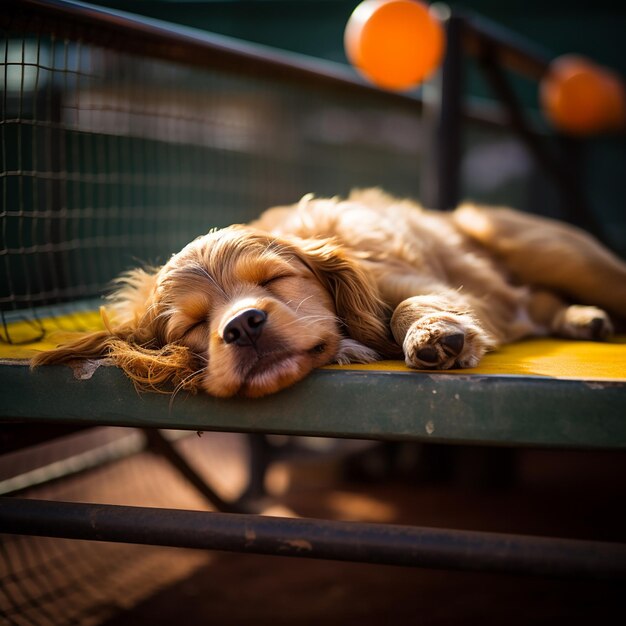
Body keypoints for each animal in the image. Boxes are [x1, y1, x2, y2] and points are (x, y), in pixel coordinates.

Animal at [34, 188, 624, 398]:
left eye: (273, 281)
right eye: (193, 326)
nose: (243, 326)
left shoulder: (439, 287)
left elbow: (409, 305)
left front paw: (432, 335)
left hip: (552, 251)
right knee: (542, 303)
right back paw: (582, 319)